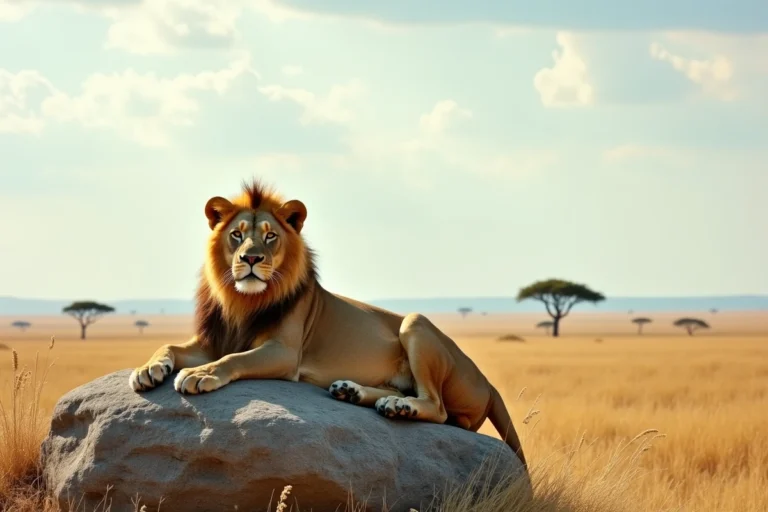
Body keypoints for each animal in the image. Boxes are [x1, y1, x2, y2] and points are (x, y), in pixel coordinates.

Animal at [129, 180, 526, 467]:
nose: (251, 258)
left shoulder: (285, 353)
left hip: (416, 324)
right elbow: (168, 345)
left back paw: (399, 408)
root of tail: (487, 383)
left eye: (270, 236)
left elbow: (234, 359)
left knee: (438, 408)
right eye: (237, 235)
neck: (241, 300)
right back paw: (356, 393)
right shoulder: (213, 340)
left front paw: (199, 375)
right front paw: (148, 370)